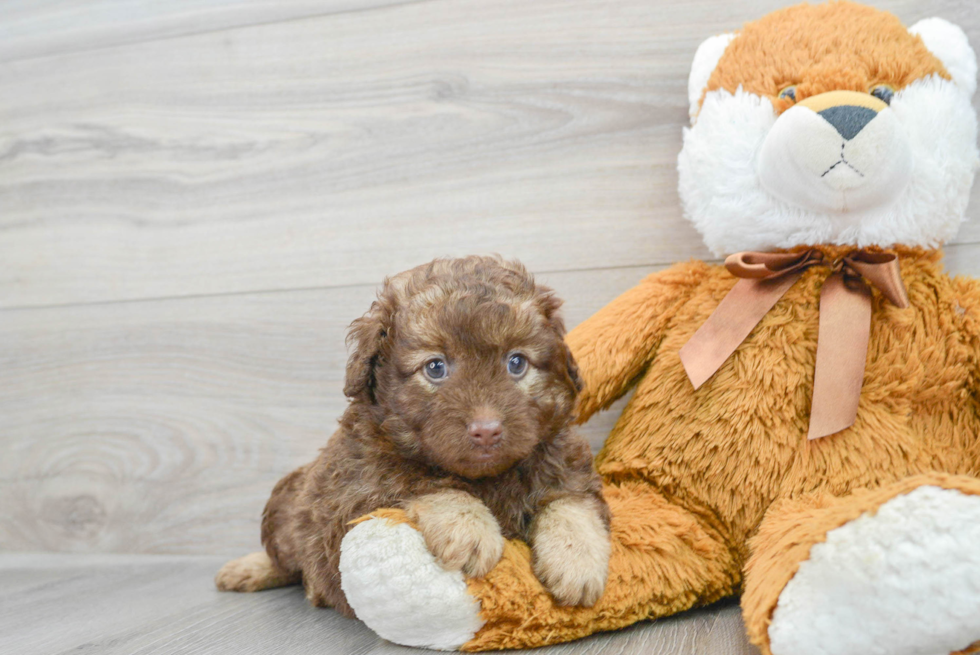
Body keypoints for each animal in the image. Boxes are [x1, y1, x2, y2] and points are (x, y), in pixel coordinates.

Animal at [218, 258, 608, 620]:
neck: (488, 479)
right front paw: (468, 526)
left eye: (516, 363)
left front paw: (579, 561)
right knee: (286, 560)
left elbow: (571, 504)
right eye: (435, 367)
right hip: (285, 505)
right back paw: (251, 569)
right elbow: (419, 479)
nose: (486, 429)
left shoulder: (565, 464)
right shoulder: (353, 490)